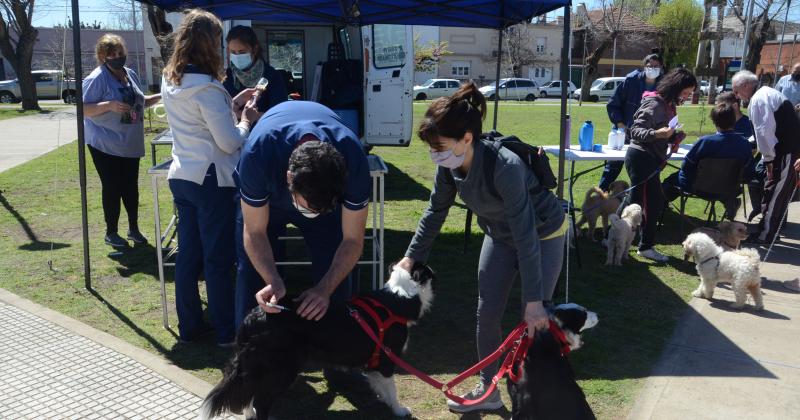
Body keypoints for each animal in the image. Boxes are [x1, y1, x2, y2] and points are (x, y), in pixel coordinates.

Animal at [200, 264, 438, 418]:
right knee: (260, 401)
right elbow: (392, 389)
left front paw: (384, 400)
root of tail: (254, 316)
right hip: (283, 368)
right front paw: (399, 410)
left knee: (249, 393)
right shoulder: (387, 358)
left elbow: (380, 385)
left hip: (259, 366)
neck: (399, 297)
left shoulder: (375, 363)